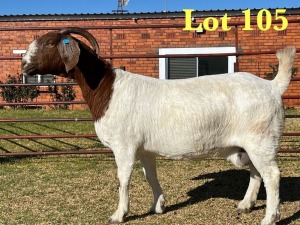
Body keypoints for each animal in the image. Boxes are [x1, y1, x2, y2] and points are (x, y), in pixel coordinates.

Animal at [21, 27, 296, 224]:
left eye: (49, 43)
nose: (24, 64)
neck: (107, 90)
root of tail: (272, 86)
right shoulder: (144, 148)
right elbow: (149, 176)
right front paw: (158, 205)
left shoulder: (124, 146)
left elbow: (123, 179)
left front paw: (119, 215)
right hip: (248, 145)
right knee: (256, 172)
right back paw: (245, 205)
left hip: (261, 139)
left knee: (272, 175)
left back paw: (269, 218)